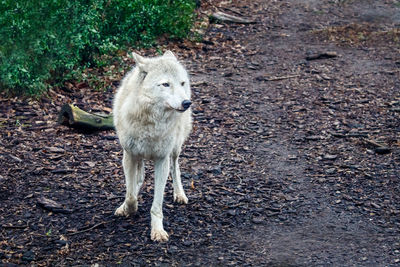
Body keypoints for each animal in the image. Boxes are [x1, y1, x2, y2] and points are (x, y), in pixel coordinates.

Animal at [112, 50, 194, 243]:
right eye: (165, 84)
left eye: (181, 83)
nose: (187, 103)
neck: (151, 122)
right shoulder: (129, 155)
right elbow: (131, 194)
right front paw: (128, 208)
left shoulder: (162, 160)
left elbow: (157, 204)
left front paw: (157, 231)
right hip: (138, 156)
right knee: (139, 177)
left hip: (175, 148)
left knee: (175, 168)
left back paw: (180, 194)